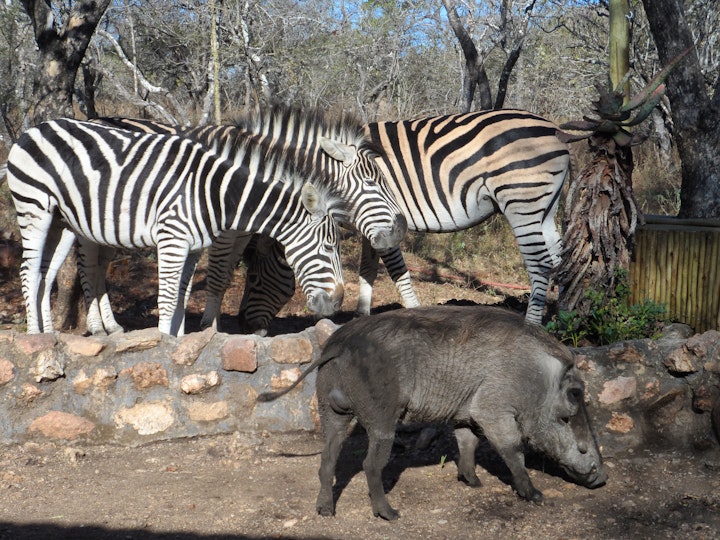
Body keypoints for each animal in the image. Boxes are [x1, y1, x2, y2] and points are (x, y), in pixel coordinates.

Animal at [6, 118, 352, 336]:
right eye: (328, 247)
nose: (338, 302)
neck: (215, 193)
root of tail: (35, 127)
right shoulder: (171, 238)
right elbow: (169, 297)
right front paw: (164, 344)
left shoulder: (193, 247)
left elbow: (182, 297)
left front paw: (177, 339)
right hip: (33, 207)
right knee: (30, 269)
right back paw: (35, 336)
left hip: (62, 221)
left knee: (46, 273)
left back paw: (51, 335)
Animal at [97, 102, 408, 334]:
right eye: (371, 182)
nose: (401, 228)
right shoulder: (223, 230)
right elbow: (217, 276)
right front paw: (209, 328)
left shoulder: (240, 231)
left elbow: (221, 275)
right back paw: (104, 327)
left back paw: (106, 327)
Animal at [233, 108, 572, 330]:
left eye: (253, 278)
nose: (242, 324)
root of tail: (554, 128)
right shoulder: (368, 225)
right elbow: (368, 271)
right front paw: (361, 318)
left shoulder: (382, 222)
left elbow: (396, 271)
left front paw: (415, 313)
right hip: (545, 206)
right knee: (559, 260)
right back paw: (561, 317)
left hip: (521, 200)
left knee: (540, 263)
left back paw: (532, 325)